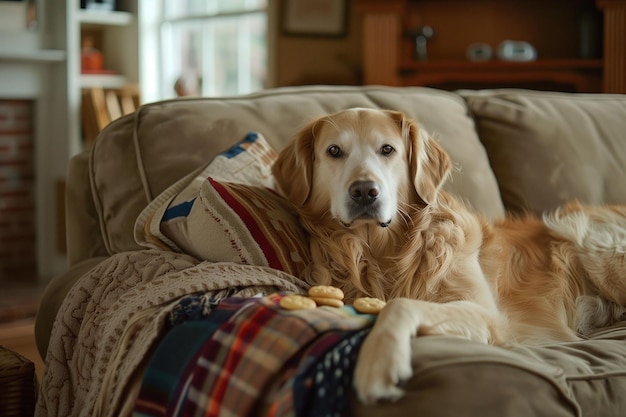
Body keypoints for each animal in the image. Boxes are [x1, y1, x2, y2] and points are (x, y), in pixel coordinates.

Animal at [270, 107, 624, 404]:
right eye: (334, 152)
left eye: (387, 150)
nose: (365, 192)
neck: (383, 253)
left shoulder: (485, 314)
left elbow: (401, 304)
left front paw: (379, 362)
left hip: (594, 245)